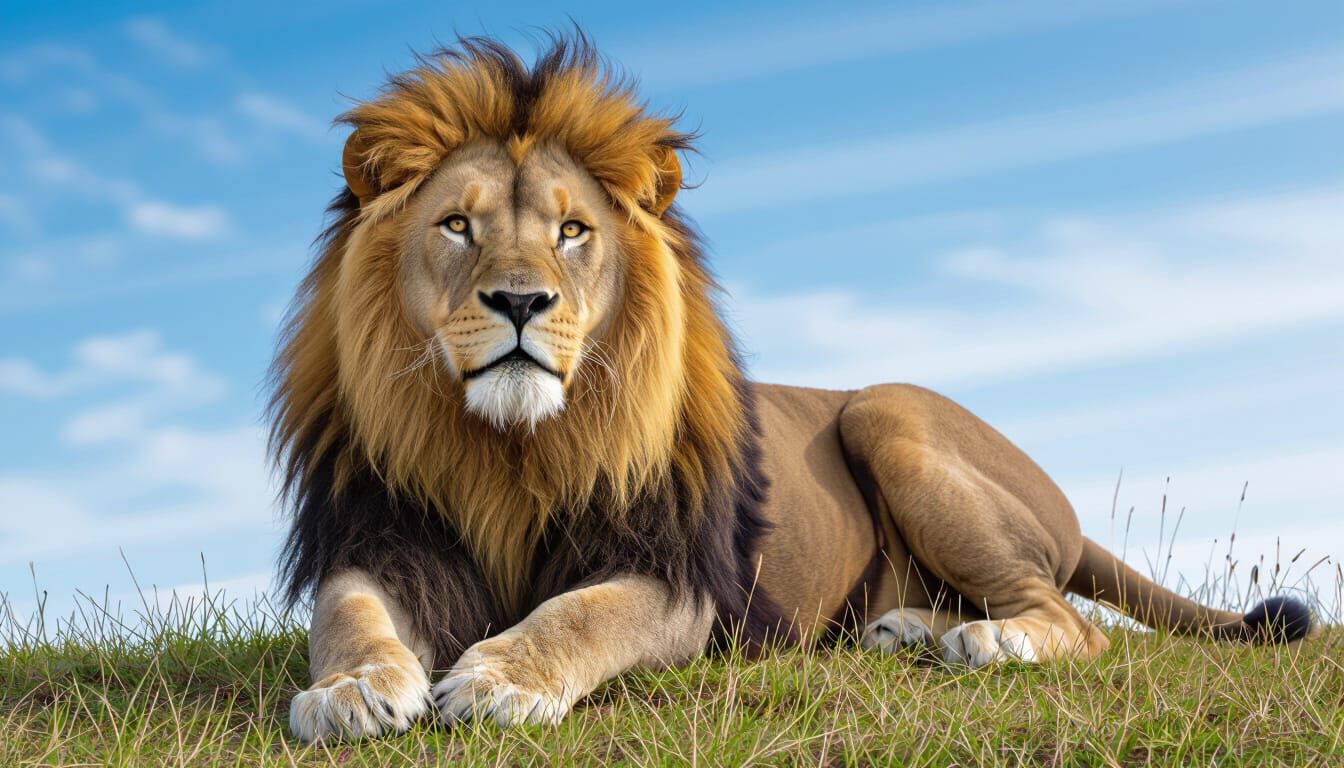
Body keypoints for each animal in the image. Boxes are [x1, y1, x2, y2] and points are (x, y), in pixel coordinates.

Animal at [271, 36, 1313, 741]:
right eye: (457, 224)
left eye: (572, 232)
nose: (522, 300)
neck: (509, 447)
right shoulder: (383, 535)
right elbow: (347, 614)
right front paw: (350, 690)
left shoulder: (674, 576)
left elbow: (581, 613)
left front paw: (501, 677)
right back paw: (909, 631)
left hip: (890, 412)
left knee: (1073, 622)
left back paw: (980, 643)